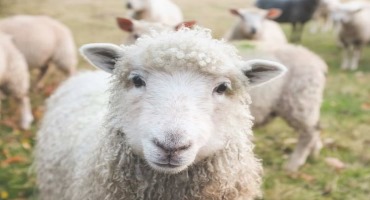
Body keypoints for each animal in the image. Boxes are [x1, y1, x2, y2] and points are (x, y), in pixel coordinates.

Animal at [234, 40, 326, 172]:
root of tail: (318, 61)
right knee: (316, 127)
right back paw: (314, 153)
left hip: (299, 101)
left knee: (310, 132)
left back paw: (293, 164)